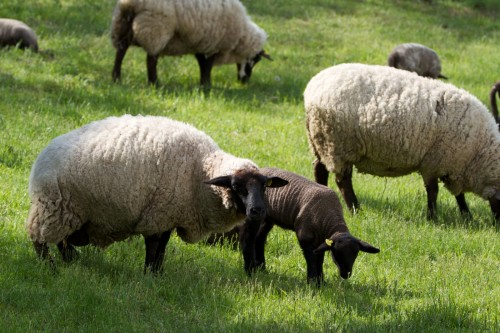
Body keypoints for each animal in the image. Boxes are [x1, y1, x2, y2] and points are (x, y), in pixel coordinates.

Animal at [25, 114, 288, 272]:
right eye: (237, 187)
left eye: (264, 186)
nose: (257, 210)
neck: (200, 170)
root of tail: (40, 160)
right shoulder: (158, 214)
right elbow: (154, 247)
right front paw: (150, 274)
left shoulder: (169, 215)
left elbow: (162, 247)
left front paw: (158, 273)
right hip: (54, 207)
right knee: (40, 239)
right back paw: (49, 267)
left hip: (71, 212)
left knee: (61, 239)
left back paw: (71, 260)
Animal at [111, 0, 272, 87]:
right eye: (254, 60)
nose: (244, 81)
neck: (241, 35)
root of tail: (131, 4)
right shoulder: (214, 43)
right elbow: (207, 66)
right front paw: (207, 85)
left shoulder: (201, 44)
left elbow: (201, 64)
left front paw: (203, 83)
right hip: (156, 27)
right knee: (151, 60)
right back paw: (154, 83)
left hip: (122, 24)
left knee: (120, 52)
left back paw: (116, 78)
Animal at [208, 167, 378, 284]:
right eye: (337, 254)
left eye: (355, 254)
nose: (345, 274)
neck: (328, 215)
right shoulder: (305, 236)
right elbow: (311, 259)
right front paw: (312, 281)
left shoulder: (321, 240)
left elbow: (320, 258)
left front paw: (321, 281)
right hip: (253, 216)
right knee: (248, 238)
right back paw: (252, 270)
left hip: (268, 219)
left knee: (259, 239)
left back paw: (262, 268)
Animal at [304, 63, 500, 222]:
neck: (479, 151)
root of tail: (311, 88)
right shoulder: (434, 162)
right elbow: (433, 191)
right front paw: (433, 218)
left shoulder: (452, 166)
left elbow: (458, 195)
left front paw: (467, 216)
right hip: (337, 144)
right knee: (342, 181)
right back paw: (356, 210)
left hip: (320, 141)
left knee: (319, 169)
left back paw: (323, 195)